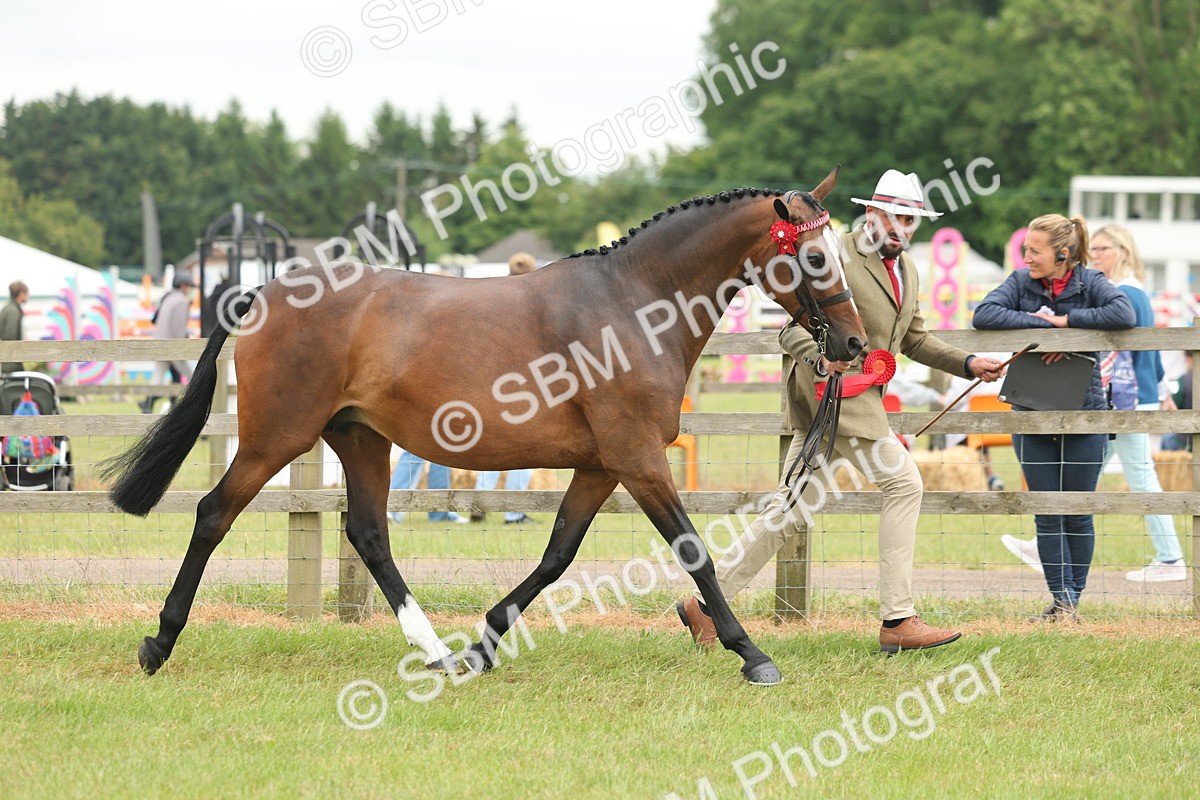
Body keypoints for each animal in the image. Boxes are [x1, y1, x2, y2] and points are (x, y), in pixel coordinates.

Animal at [101, 165, 867, 686]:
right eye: (814, 254)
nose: (856, 345)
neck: (633, 303)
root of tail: (264, 292)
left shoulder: (603, 464)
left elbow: (557, 555)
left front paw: (486, 641)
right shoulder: (637, 458)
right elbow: (692, 550)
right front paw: (752, 653)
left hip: (360, 438)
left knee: (369, 534)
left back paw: (439, 651)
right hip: (275, 438)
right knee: (213, 513)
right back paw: (158, 643)